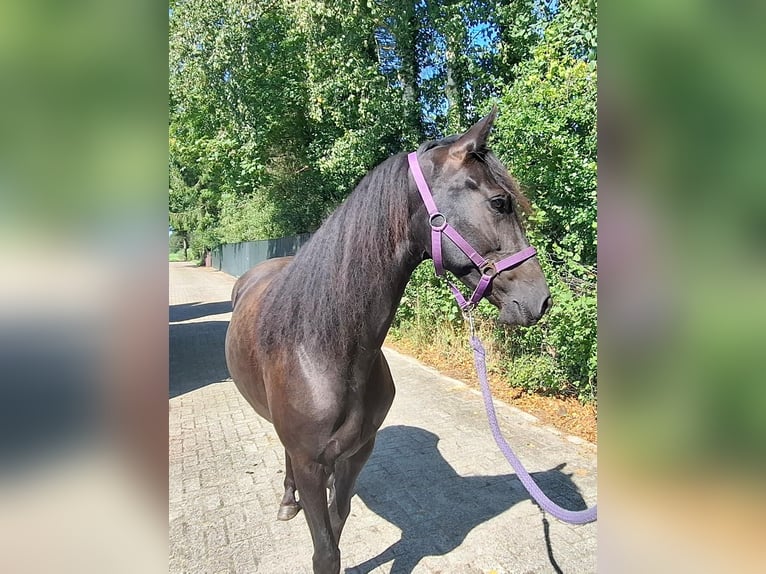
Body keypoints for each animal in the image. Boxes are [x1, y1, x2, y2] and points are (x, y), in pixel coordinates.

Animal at [224, 109, 552, 574]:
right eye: (498, 202)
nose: (541, 299)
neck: (326, 351)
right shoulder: (311, 464)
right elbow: (325, 551)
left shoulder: (358, 453)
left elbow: (338, 522)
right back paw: (287, 500)